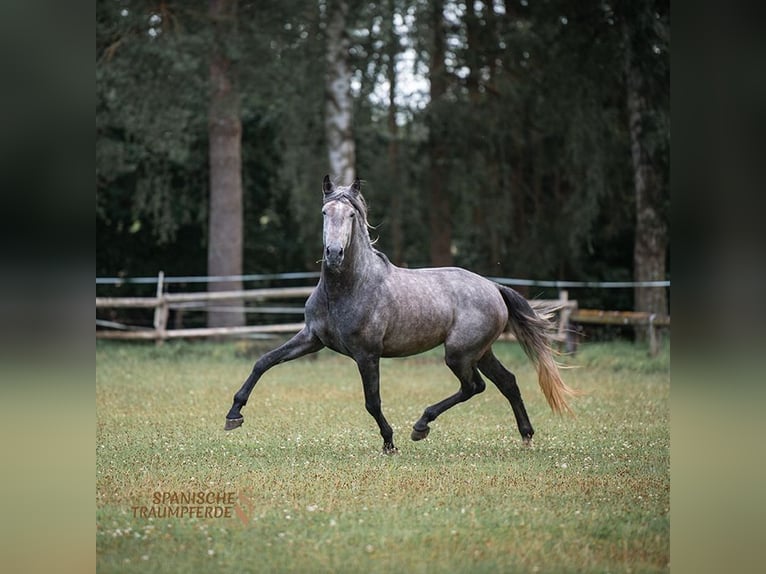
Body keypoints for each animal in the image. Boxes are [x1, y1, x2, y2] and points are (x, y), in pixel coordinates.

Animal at [225, 176, 580, 454]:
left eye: (351, 214)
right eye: (325, 212)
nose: (334, 254)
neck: (348, 287)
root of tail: (494, 287)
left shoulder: (367, 354)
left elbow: (372, 401)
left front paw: (389, 442)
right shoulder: (312, 338)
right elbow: (264, 362)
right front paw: (234, 415)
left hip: (459, 353)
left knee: (474, 387)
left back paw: (421, 426)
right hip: (480, 352)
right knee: (507, 382)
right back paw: (526, 436)